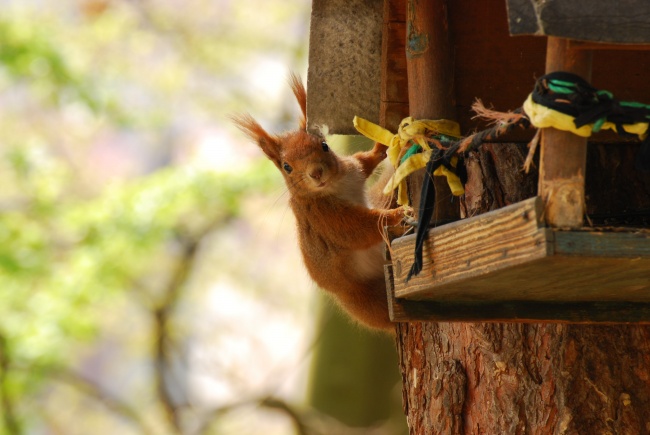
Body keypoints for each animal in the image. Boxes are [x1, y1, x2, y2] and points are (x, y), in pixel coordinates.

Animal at [232, 74, 404, 330]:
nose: (316, 173)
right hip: (369, 302)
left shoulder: (353, 171)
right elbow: (357, 230)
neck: (336, 185)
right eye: (287, 166)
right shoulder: (323, 217)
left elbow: (365, 161)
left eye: (324, 145)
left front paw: (380, 146)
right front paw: (394, 215)